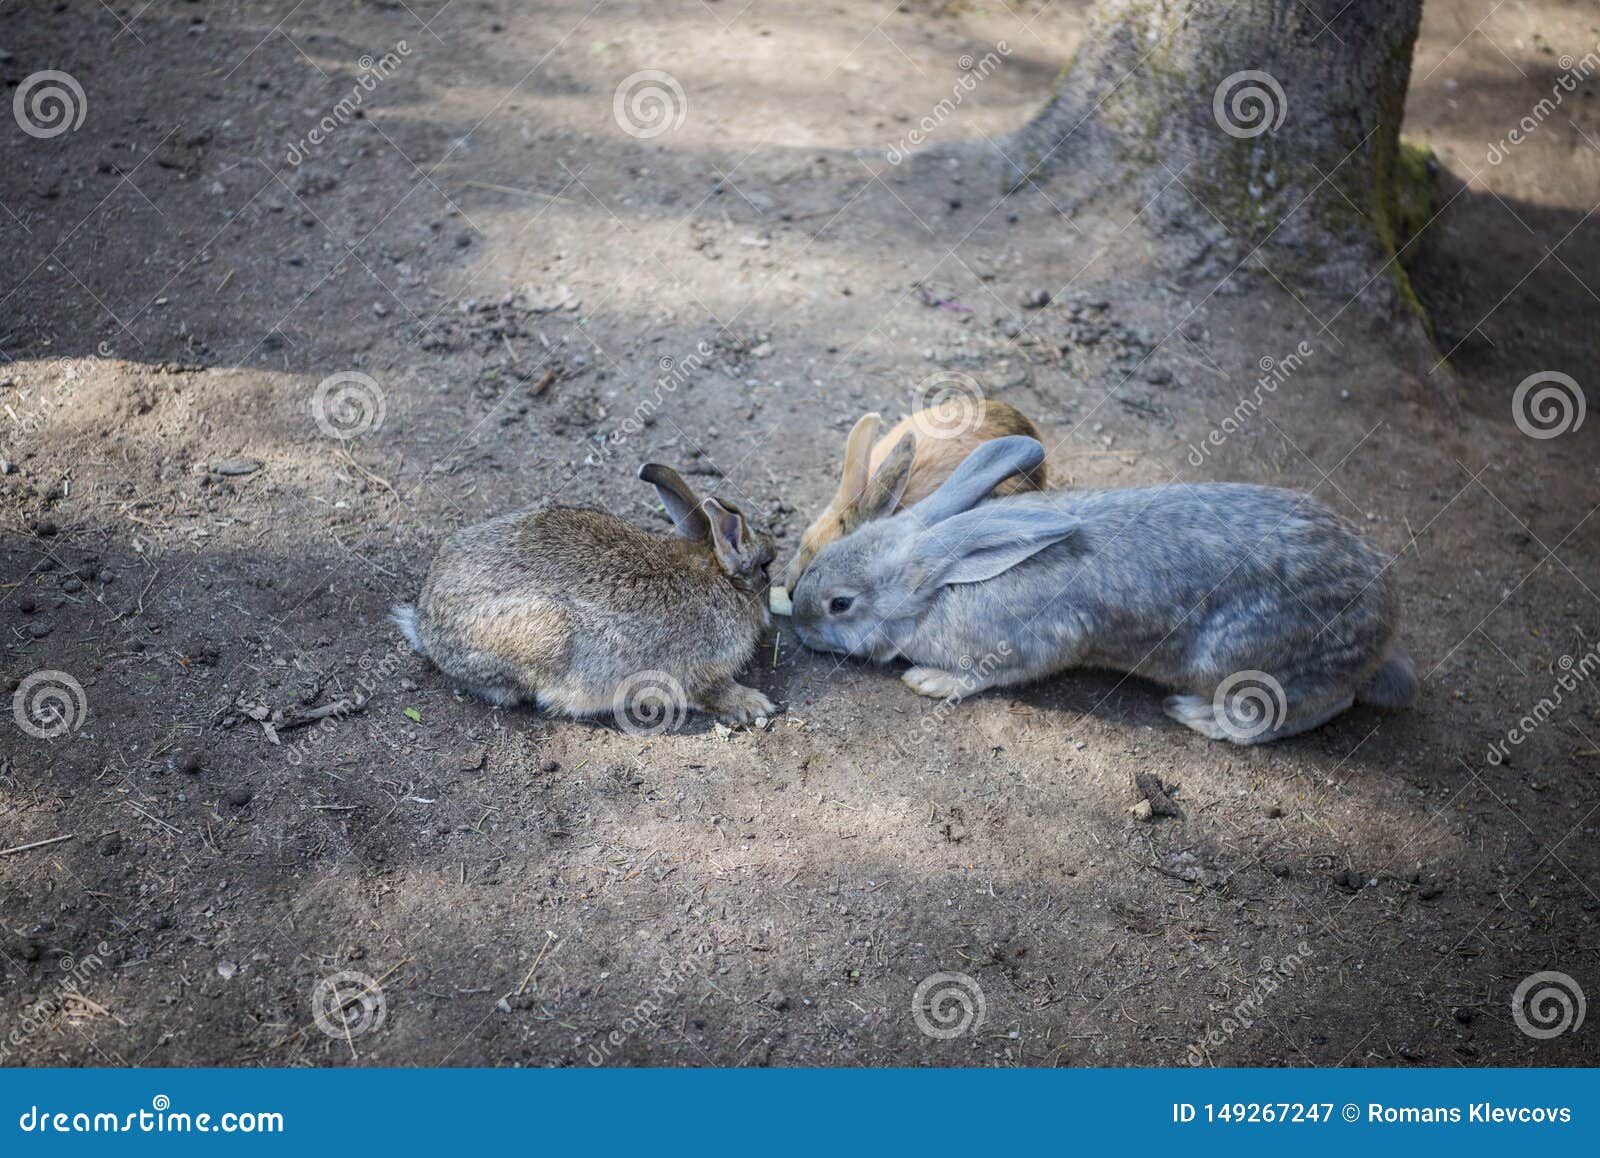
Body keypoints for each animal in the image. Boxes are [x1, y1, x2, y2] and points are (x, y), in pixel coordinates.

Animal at [392, 464, 777, 729]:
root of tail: (426, 627)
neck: (716, 574)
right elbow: (712, 692)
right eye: (766, 566)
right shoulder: (701, 670)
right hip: (545, 633)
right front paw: (755, 704)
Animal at [790, 436, 1416, 744]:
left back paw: (1199, 716)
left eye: (840, 604)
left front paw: (928, 680)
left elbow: (989, 675)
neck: (946, 580)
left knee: (1315, 705)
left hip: (1242, 659)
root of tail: (1383, 622)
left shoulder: (1031, 643)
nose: (797, 627)